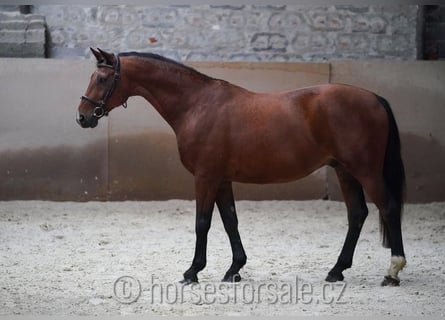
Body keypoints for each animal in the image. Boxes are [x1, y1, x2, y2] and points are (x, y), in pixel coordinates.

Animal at [77, 48, 406, 288]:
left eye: (103, 79)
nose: (82, 117)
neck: (197, 105)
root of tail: (374, 98)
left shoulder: (206, 178)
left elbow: (202, 223)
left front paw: (192, 271)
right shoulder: (221, 179)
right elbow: (230, 221)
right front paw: (234, 269)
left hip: (366, 171)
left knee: (388, 208)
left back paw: (393, 271)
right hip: (345, 170)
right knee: (357, 214)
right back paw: (337, 270)